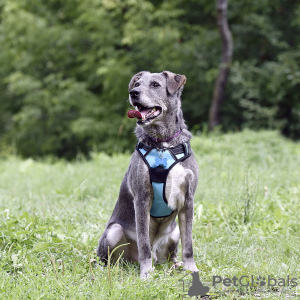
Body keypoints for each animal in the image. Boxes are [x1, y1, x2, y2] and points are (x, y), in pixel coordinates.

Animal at [96, 70, 199, 278]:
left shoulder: (188, 199)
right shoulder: (142, 198)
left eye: (155, 85)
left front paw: (191, 268)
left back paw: (175, 264)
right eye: (136, 84)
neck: (163, 144)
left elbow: (189, 244)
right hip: (114, 231)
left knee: (168, 256)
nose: (133, 93)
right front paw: (146, 273)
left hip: (174, 232)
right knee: (112, 259)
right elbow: (143, 242)